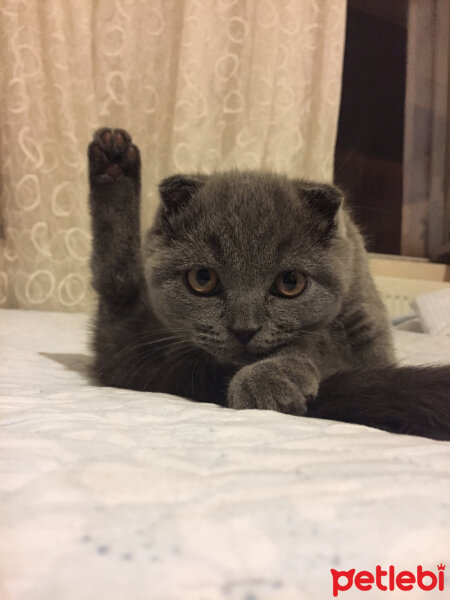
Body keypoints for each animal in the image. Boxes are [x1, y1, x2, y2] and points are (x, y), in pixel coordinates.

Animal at [88, 127, 450, 440]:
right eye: (202, 279)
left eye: (290, 282)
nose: (244, 329)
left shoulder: (361, 331)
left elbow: (318, 347)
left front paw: (268, 379)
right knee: (117, 280)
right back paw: (113, 160)